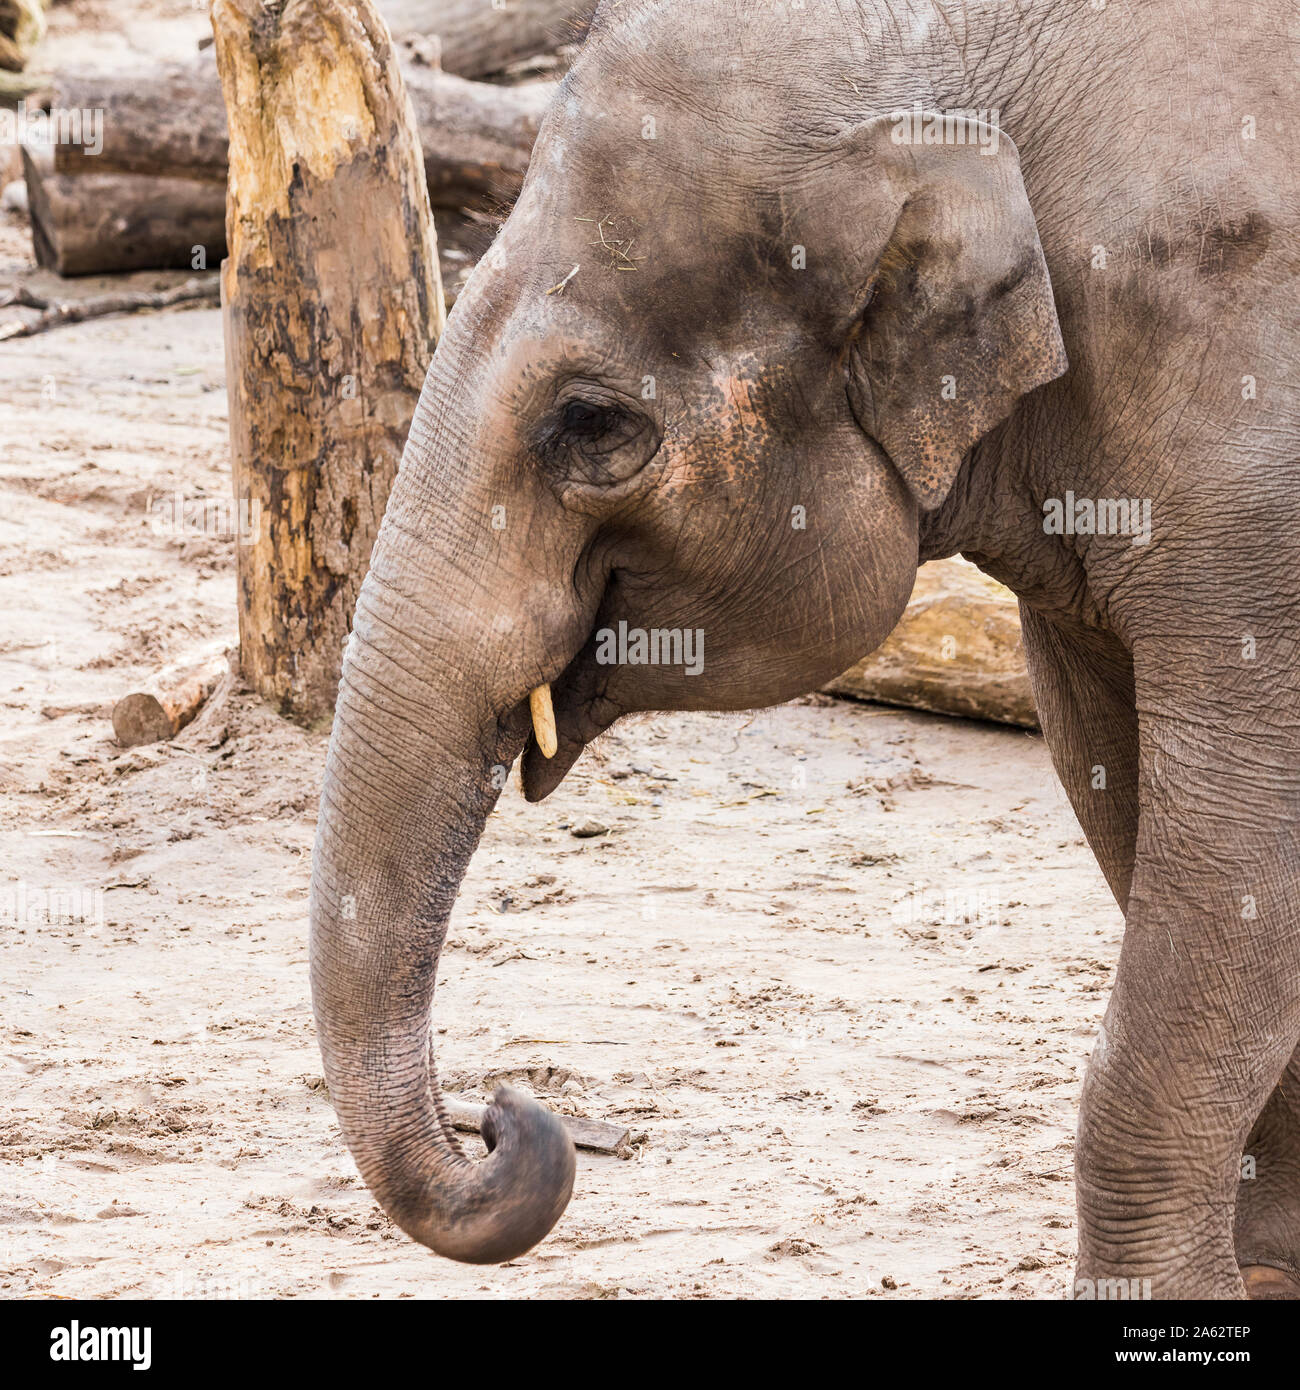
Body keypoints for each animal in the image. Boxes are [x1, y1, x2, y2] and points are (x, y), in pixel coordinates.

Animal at [307, 0, 1300, 1295]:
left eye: (590, 424)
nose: (503, 1113)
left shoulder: (1254, 445)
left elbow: (1239, 849)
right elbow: (1126, 790)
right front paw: (1271, 1276)